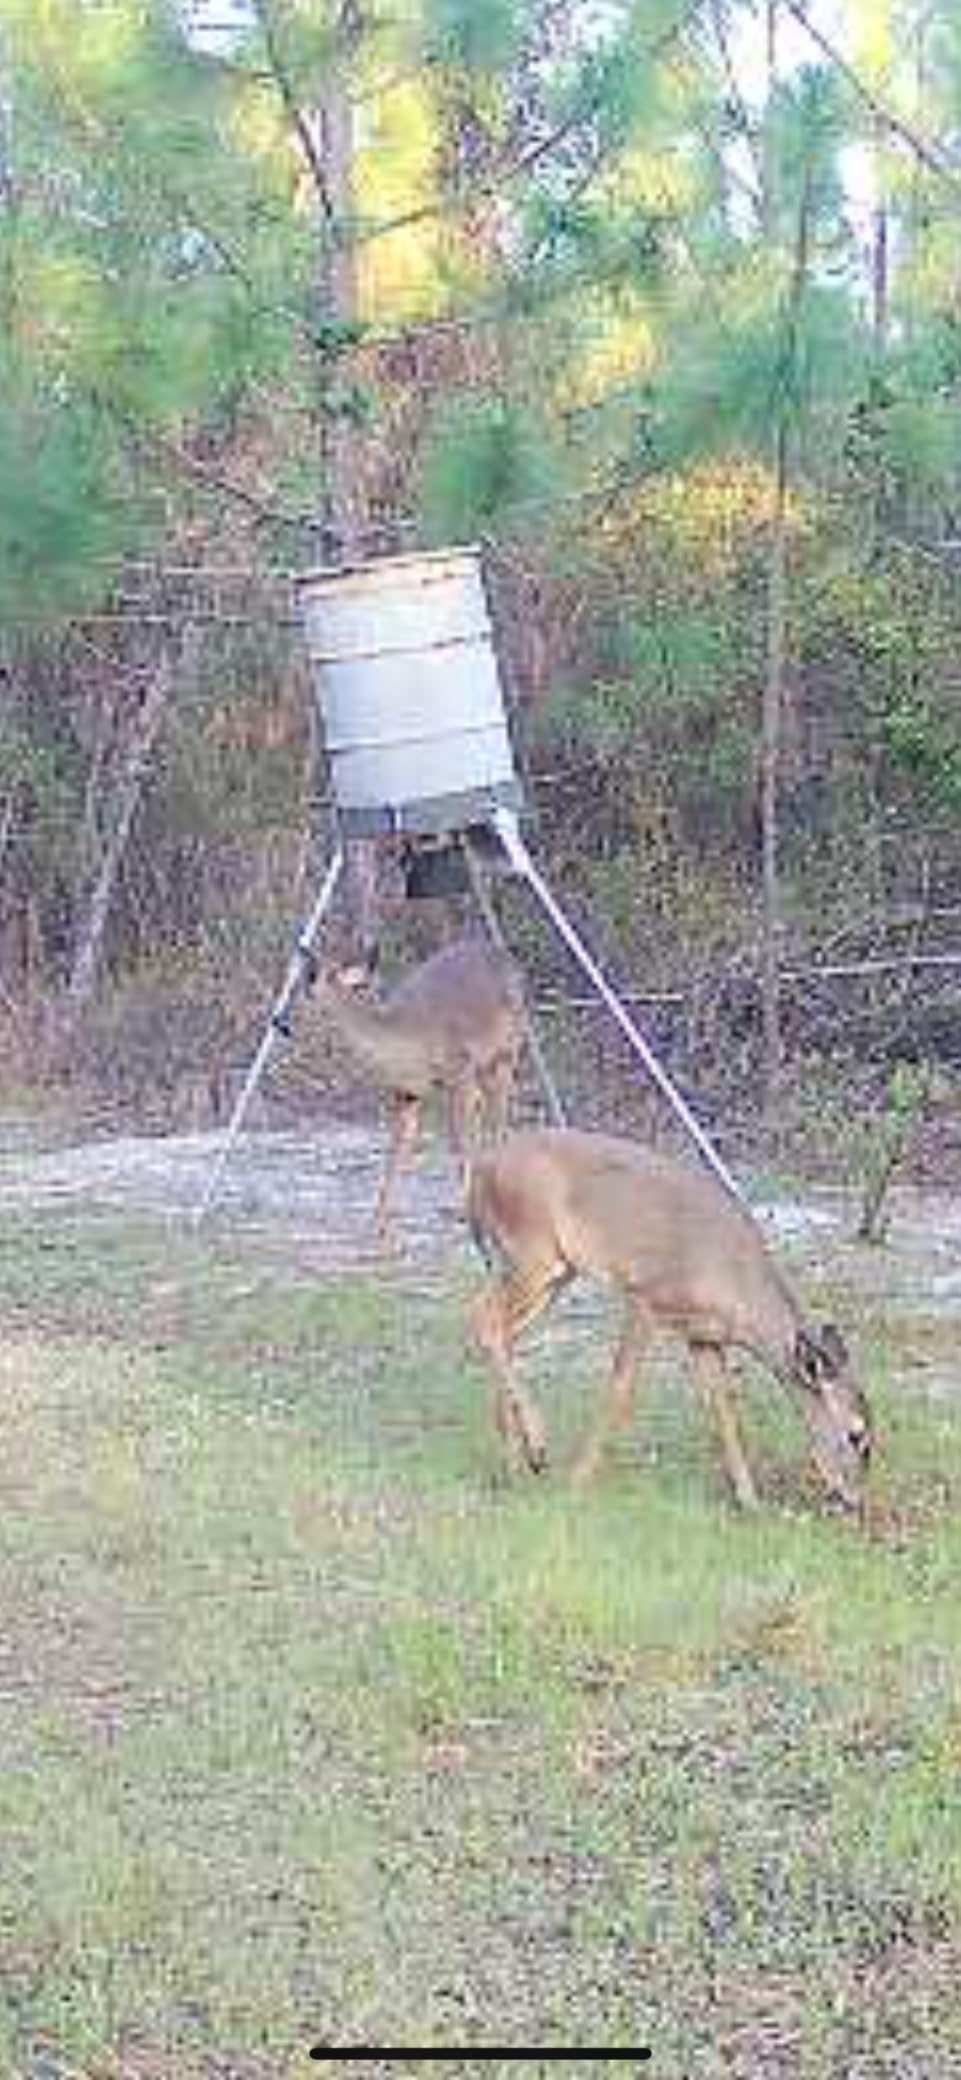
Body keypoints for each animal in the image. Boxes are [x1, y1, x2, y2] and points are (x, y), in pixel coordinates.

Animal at [308, 933, 526, 1244]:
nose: (281, 1021)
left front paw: (468, 1214)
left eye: (316, 983)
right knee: (488, 1113)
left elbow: (458, 1143)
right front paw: (379, 1224)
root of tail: (506, 956)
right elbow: (398, 1146)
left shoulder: (459, 1072)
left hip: (507, 1050)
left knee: (498, 1116)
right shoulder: (406, 1092)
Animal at [466, 1127, 873, 1513]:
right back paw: (536, 1447)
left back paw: (514, 1460)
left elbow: (724, 1409)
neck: (735, 1286)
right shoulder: (645, 1298)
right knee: (483, 1319)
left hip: (555, 1271)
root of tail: (480, 1169)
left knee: (500, 1328)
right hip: (532, 1253)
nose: (854, 1499)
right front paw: (577, 1481)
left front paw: (749, 1500)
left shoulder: (704, 1336)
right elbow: (621, 1389)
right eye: (856, 1434)